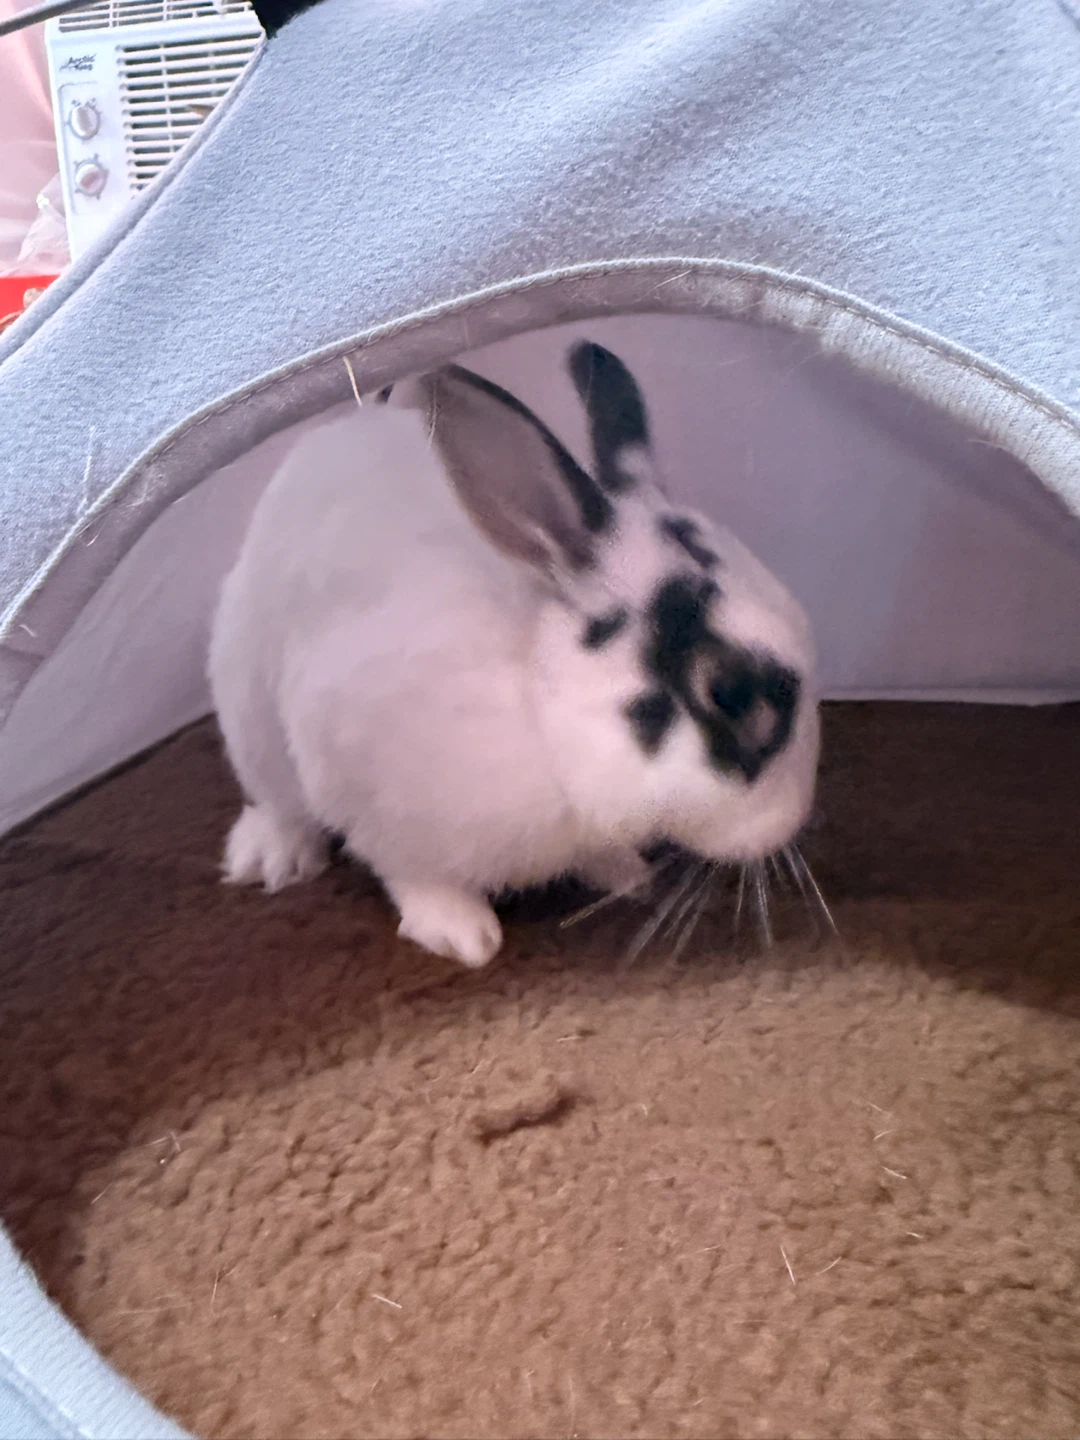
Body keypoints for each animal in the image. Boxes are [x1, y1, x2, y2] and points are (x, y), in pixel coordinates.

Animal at [208, 341, 820, 967]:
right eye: (727, 693)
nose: (789, 822)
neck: (541, 709)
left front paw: (625, 873)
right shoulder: (363, 786)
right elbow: (412, 870)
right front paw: (462, 935)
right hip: (250, 717)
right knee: (277, 802)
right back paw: (273, 860)